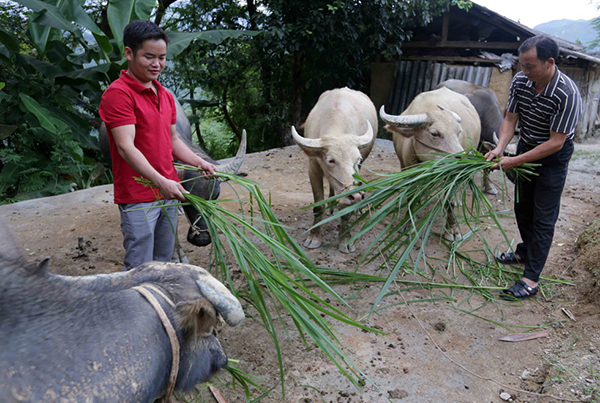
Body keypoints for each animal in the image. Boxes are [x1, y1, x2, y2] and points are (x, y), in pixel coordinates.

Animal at [292, 88, 380, 254]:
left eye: (357, 159)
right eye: (331, 160)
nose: (356, 197)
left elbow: (346, 209)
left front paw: (345, 241)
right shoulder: (313, 169)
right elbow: (318, 205)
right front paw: (314, 238)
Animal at [380, 87, 482, 241]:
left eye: (458, 132)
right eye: (434, 133)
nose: (462, 160)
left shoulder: (450, 176)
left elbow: (449, 201)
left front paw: (452, 230)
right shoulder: (407, 169)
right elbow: (411, 197)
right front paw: (408, 224)